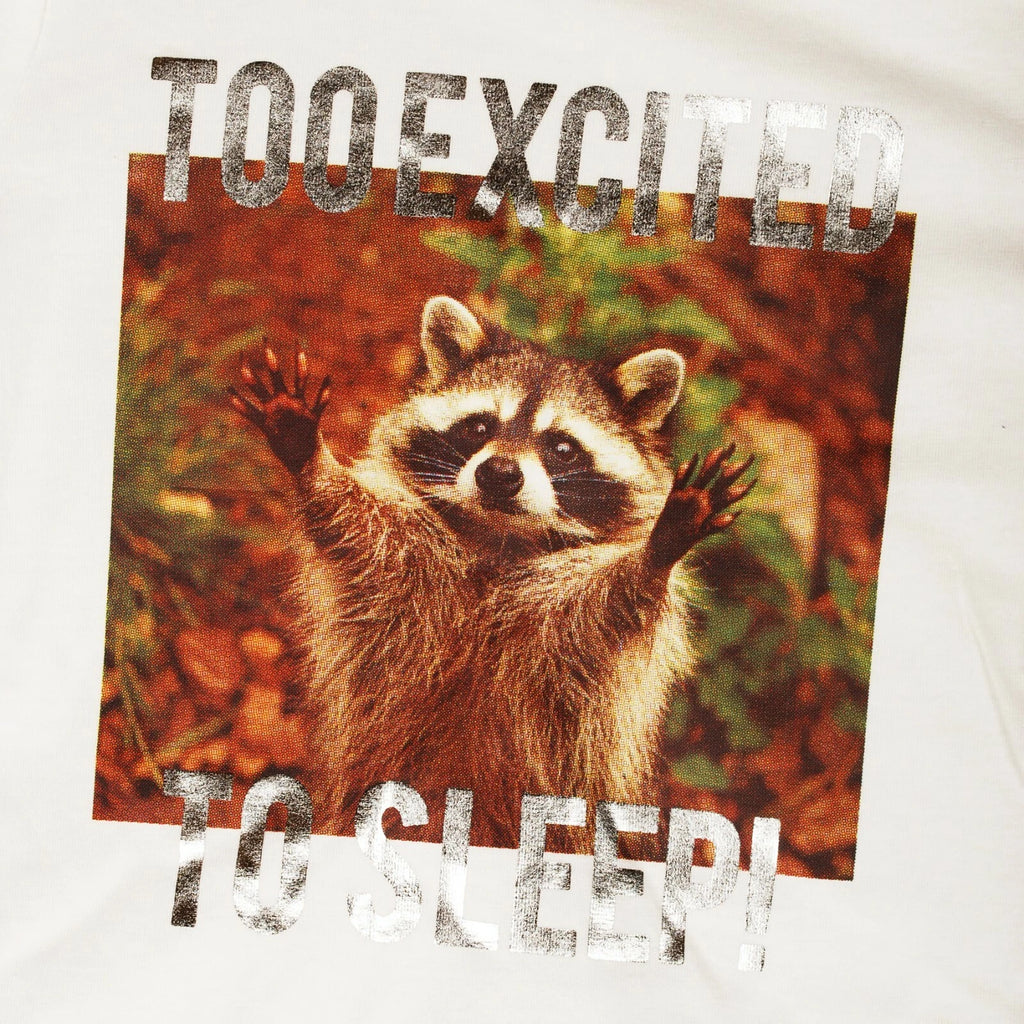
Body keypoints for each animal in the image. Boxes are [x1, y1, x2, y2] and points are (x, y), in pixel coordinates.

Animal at [229, 296, 753, 850]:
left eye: (562, 447)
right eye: (479, 427)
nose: (499, 474)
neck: (499, 541)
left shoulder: (568, 627)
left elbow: (615, 604)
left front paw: (656, 553)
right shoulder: (403, 563)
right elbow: (354, 525)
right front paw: (312, 460)